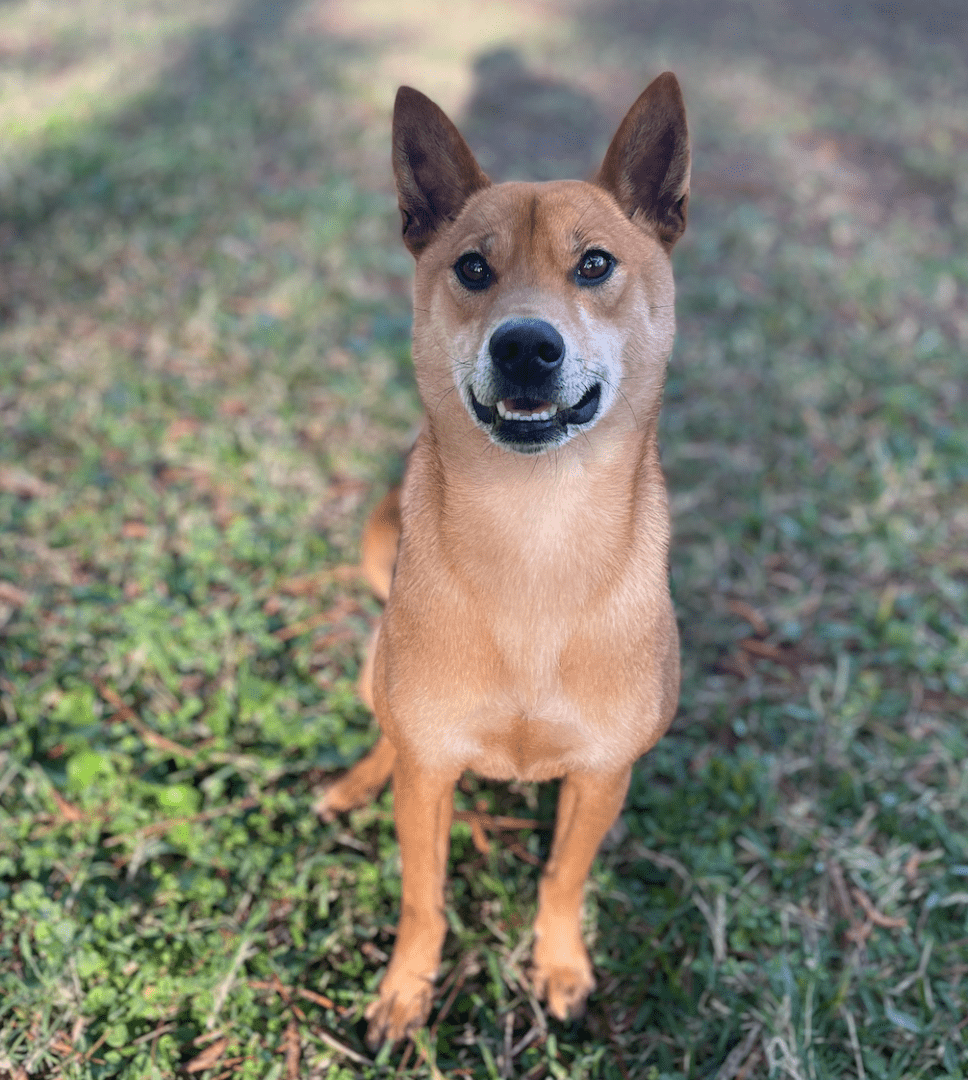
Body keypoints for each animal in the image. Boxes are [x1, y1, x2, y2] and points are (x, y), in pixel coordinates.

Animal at [319, 73, 687, 1045]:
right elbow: (423, 894)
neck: (534, 532)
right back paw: (353, 782)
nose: (525, 344)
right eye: (473, 269)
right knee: (384, 727)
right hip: (384, 675)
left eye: (594, 264)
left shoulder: (602, 776)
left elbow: (562, 876)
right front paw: (406, 989)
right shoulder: (432, 773)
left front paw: (560, 966)